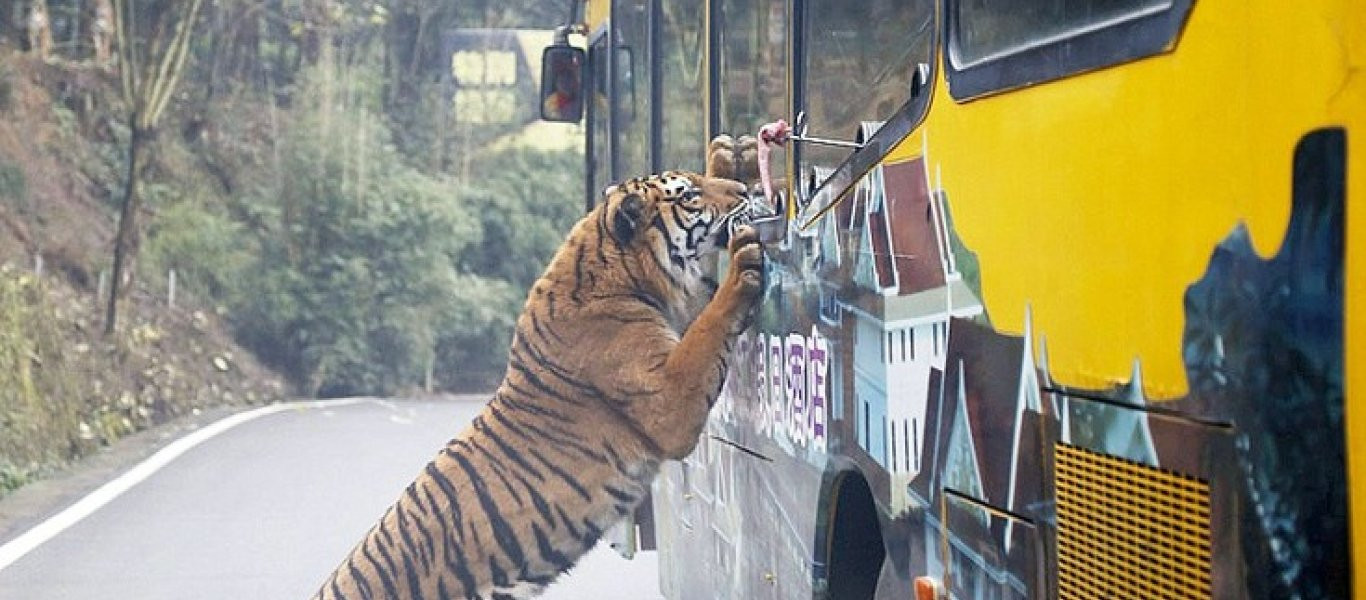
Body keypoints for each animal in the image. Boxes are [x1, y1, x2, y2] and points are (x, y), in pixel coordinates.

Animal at [310, 140, 764, 595]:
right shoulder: (667, 399)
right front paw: (743, 262)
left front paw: (727, 153)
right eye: (690, 196)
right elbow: (709, 327)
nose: (745, 190)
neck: (625, 271)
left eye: (699, 181)